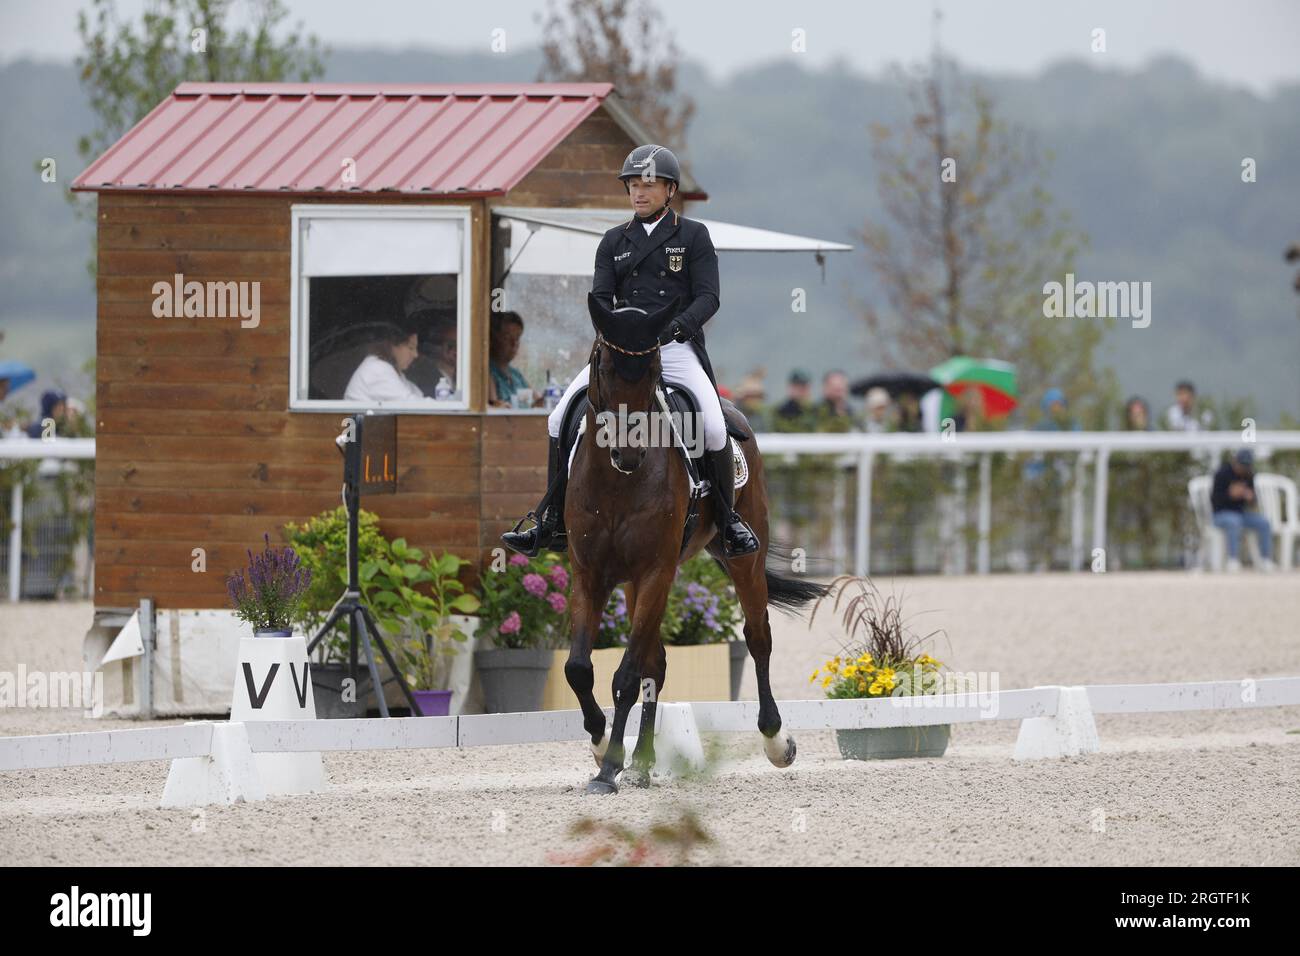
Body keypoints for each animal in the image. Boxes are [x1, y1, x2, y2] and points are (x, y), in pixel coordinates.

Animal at [564, 291, 826, 790]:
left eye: (652, 372)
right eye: (603, 367)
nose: (629, 454)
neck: (617, 483)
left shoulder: (654, 570)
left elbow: (625, 677)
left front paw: (608, 768)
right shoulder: (591, 573)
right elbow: (580, 668)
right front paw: (600, 746)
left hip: (739, 558)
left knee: (757, 638)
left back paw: (775, 741)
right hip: (639, 582)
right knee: (657, 662)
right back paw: (642, 764)